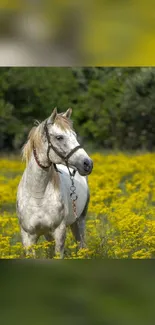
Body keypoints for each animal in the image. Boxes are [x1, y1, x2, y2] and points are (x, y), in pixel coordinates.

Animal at [16, 107, 92, 256]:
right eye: (59, 137)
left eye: (74, 135)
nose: (88, 164)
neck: (38, 195)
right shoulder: (28, 237)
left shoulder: (59, 232)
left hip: (79, 221)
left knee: (82, 244)